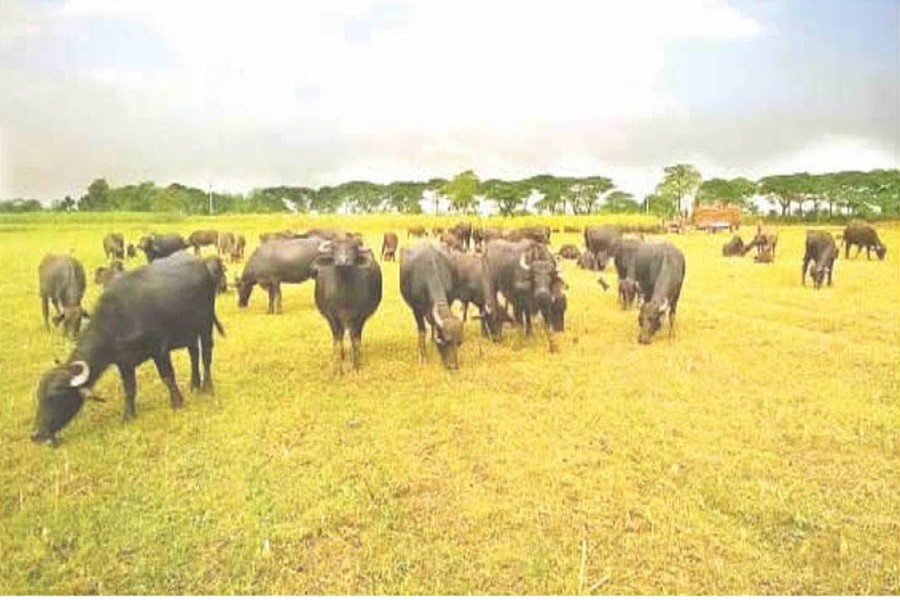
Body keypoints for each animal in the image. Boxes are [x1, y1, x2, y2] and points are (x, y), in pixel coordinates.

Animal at [33, 251, 227, 442]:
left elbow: (167, 376)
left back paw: (207, 387)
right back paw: (194, 385)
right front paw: (128, 415)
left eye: (55, 397)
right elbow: (129, 388)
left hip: (205, 324)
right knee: (194, 353)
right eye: (39, 396)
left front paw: (177, 402)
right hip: (188, 332)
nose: (36, 434)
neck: (118, 318)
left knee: (206, 354)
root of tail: (202, 264)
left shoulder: (160, 350)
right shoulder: (124, 362)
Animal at [314, 237, 382, 372]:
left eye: (353, 248)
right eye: (334, 249)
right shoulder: (332, 316)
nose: (343, 262)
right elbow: (338, 338)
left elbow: (354, 338)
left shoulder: (359, 316)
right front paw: (338, 365)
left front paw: (356, 365)